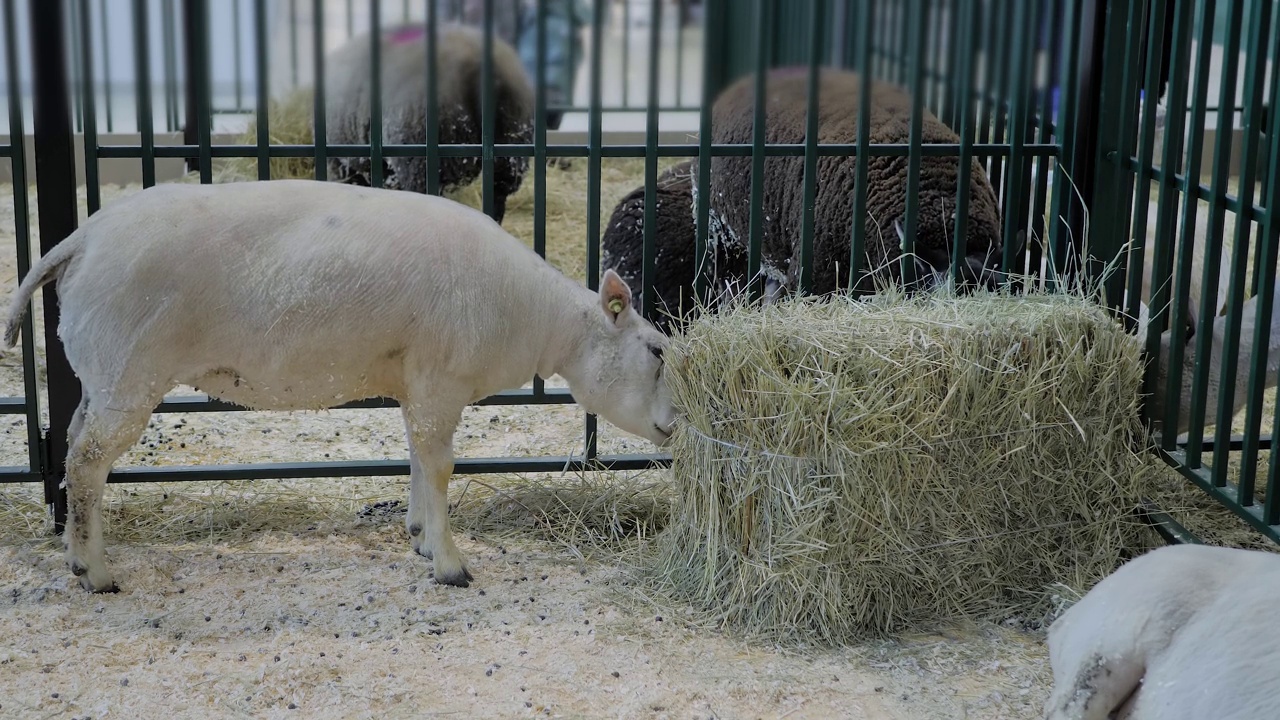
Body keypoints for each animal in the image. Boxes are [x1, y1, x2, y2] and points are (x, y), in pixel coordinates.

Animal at [2, 178, 680, 589]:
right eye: (655, 350)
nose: (676, 426)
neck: (532, 316)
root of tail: (77, 241)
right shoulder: (440, 379)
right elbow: (440, 466)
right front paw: (451, 565)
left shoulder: (416, 384)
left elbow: (418, 459)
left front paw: (420, 538)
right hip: (127, 372)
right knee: (86, 464)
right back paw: (95, 572)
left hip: (101, 374)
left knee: (73, 444)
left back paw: (76, 555)